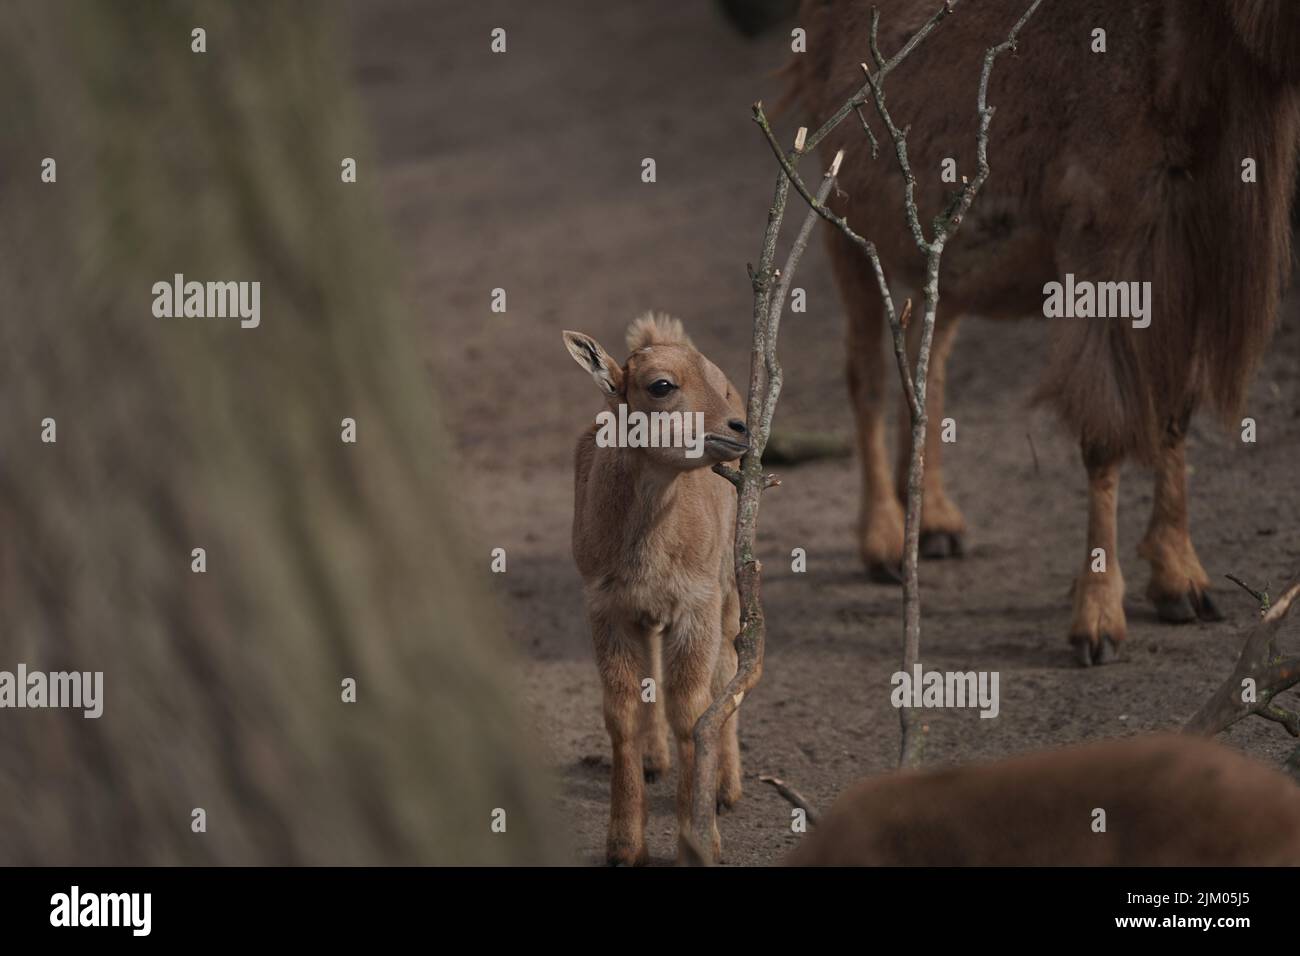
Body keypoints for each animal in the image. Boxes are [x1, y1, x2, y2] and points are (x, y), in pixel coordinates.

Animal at [564, 314, 749, 864]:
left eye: (718, 382)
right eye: (661, 386)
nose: (738, 427)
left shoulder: (696, 602)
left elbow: (691, 710)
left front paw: (700, 838)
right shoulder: (606, 605)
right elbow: (621, 710)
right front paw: (625, 845)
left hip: (728, 580)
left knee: (729, 665)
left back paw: (726, 786)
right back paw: (654, 761)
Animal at [788, 0, 1300, 664]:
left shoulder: (1180, 273)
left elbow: (1174, 416)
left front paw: (1182, 582)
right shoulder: (1100, 250)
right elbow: (1105, 435)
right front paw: (1098, 623)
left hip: (943, 254)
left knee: (928, 359)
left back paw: (932, 521)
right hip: (843, 222)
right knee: (866, 375)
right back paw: (882, 541)